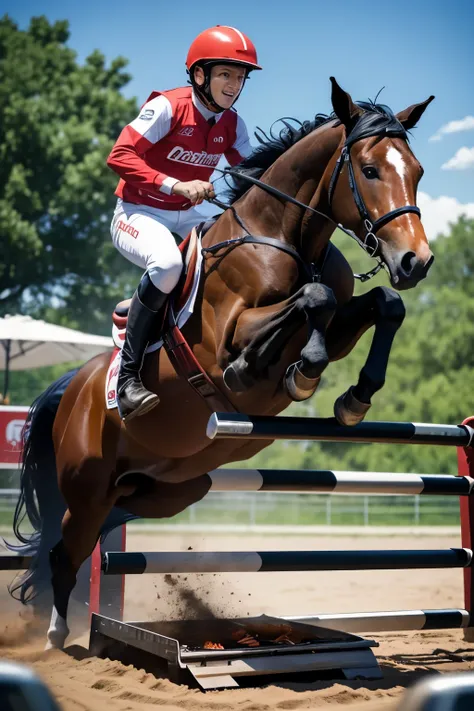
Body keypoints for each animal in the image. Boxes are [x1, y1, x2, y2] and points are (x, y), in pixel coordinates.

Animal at [10, 79, 434, 652]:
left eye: (417, 171)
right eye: (369, 171)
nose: (417, 261)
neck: (288, 237)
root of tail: (73, 388)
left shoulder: (346, 320)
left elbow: (382, 304)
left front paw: (353, 397)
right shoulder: (229, 335)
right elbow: (313, 300)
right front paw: (297, 372)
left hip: (165, 489)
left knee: (92, 532)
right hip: (87, 482)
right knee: (65, 547)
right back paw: (58, 634)